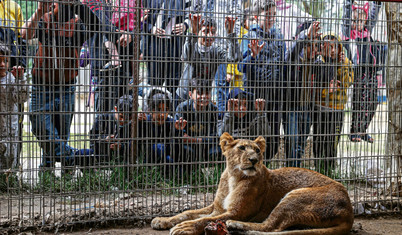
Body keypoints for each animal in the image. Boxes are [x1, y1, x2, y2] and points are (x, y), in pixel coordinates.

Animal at [152, 133, 354, 234]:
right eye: (242, 148)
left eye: (257, 150)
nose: (254, 160)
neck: (233, 177)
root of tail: (350, 211)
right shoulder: (216, 207)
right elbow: (187, 213)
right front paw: (162, 220)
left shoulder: (236, 211)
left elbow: (205, 220)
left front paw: (185, 228)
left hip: (295, 196)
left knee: (271, 227)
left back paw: (236, 226)